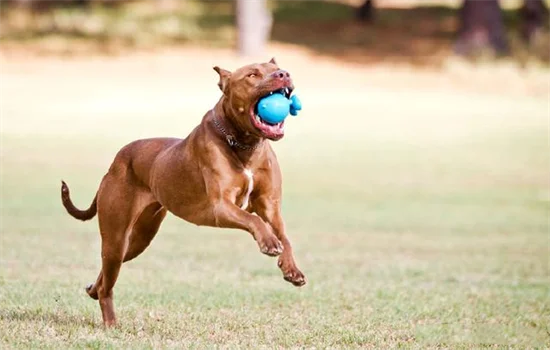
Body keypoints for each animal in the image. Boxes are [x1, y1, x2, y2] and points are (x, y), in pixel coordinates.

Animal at [63, 58, 310, 326]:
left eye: (277, 68)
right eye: (252, 75)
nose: (283, 74)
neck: (246, 143)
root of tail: (115, 162)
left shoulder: (270, 205)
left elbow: (284, 235)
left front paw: (291, 268)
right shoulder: (220, 206)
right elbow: (253, 219)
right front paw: (269, 242)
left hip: (140, 239)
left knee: (107, 276)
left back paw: (93, 289)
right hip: (116, 236)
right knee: (108, 282)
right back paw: (110, 323)